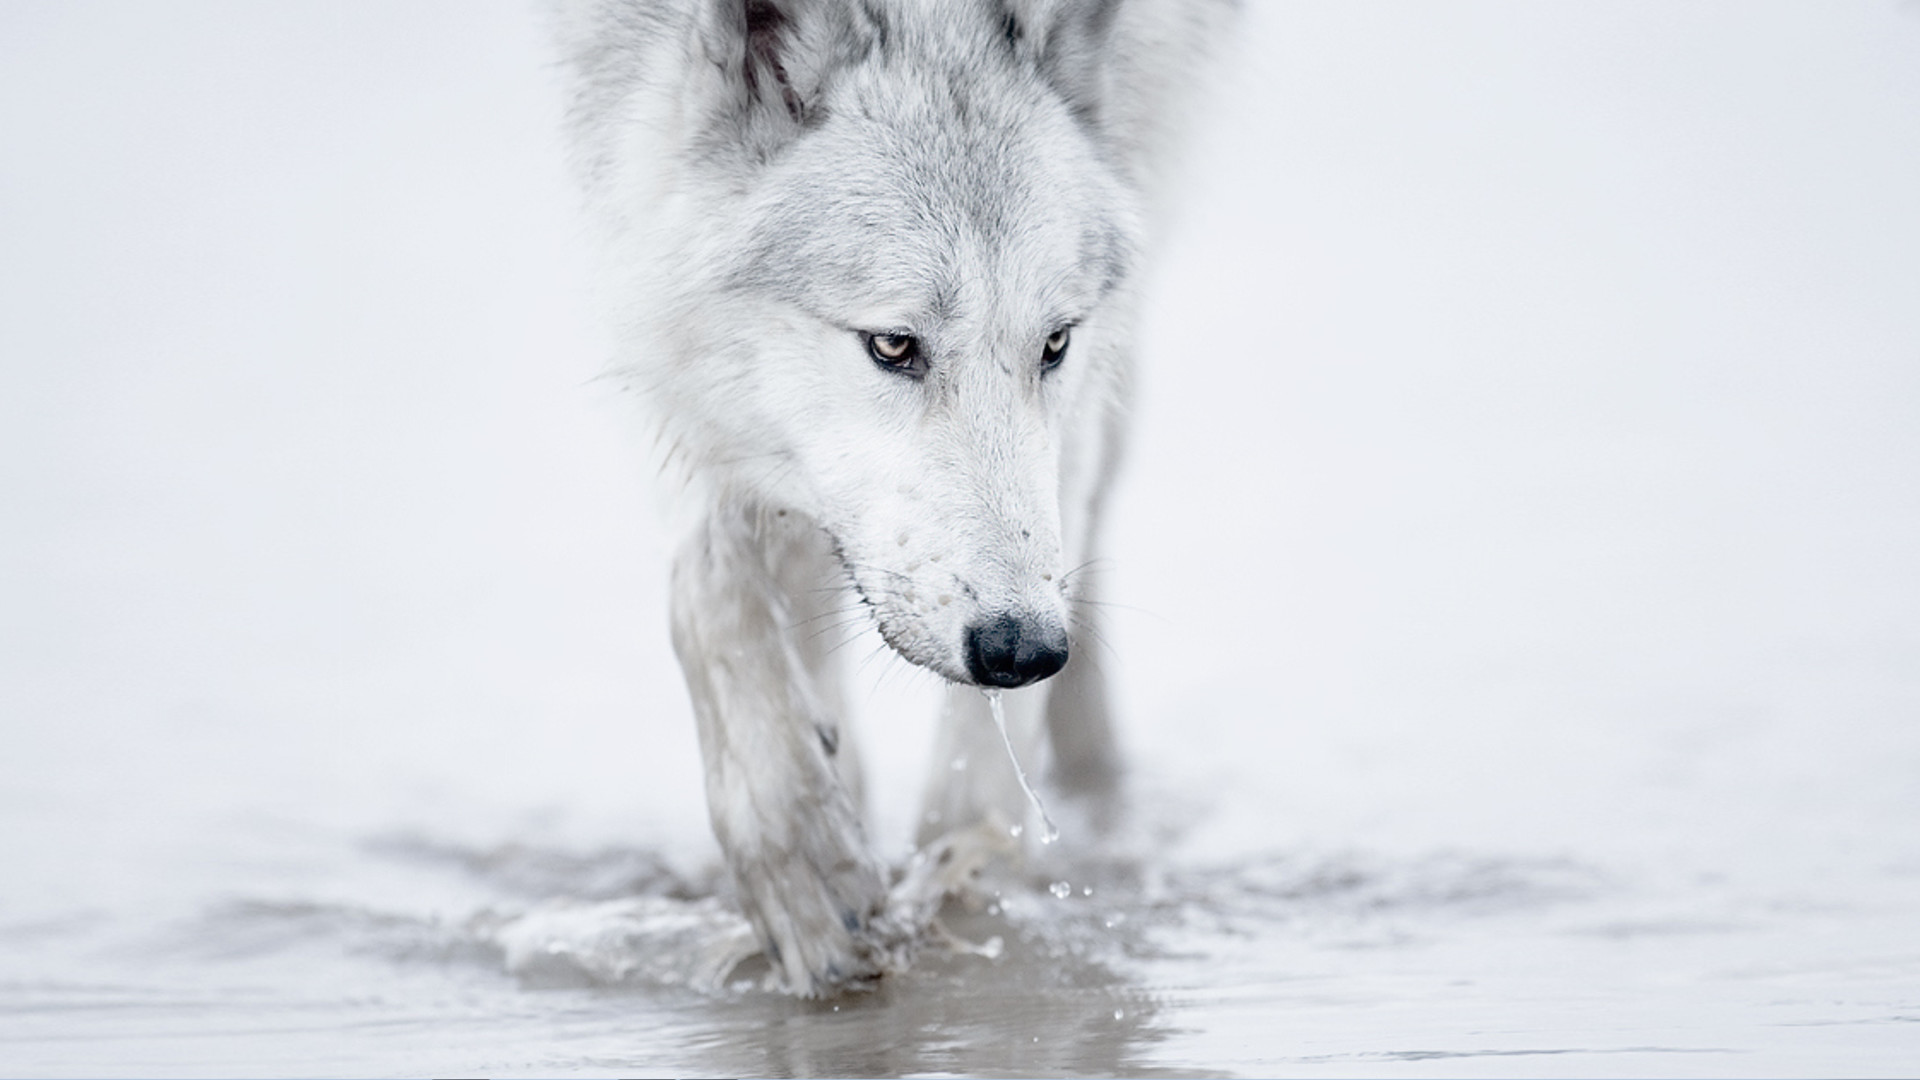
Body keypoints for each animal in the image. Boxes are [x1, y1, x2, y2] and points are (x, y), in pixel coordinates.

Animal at [553, 0, 1231, 995]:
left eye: (1054, 344)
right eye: (893, 345)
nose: (1024, 649)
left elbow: (978, 767)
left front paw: (960, 889)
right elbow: (710, 588)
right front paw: (805, 863)